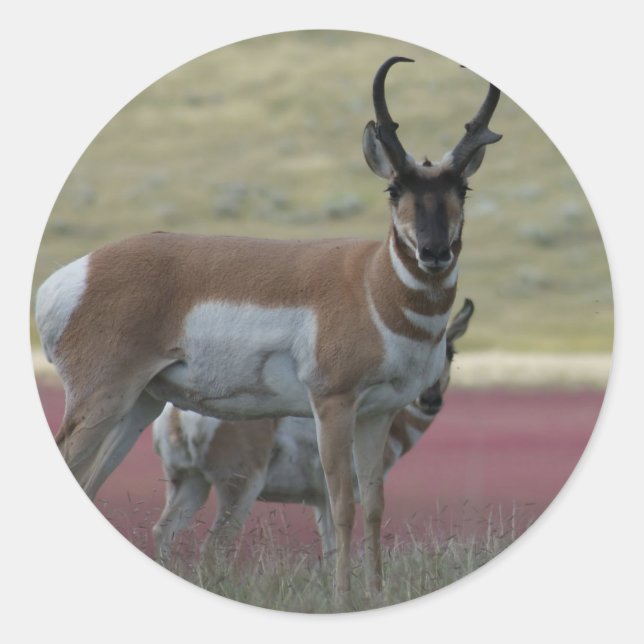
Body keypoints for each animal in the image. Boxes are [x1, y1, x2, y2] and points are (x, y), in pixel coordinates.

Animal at [152, 299, 474, 563]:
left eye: (452, 353)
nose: (430, 400)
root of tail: (178, 416)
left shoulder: (320, 501)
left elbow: (330, 554)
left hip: (190, 482)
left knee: (163, 531)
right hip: (239, 487)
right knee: (214, 547)